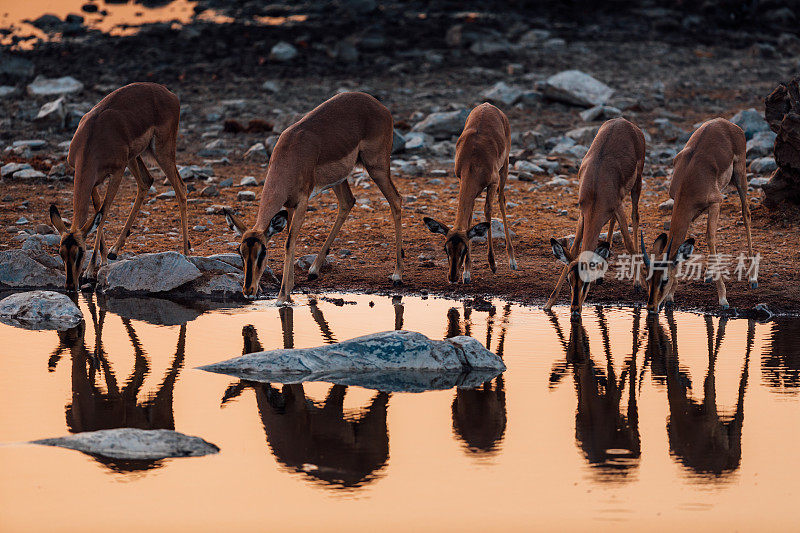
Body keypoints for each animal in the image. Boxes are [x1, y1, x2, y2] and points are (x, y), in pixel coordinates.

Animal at [48, 82, 191, 290]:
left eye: (80, 252)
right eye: (60, 253)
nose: (70, 285)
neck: (92, 139)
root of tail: (168, 93)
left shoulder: (116, 173)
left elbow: (104, 212)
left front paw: (90, 271)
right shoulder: (91, 180)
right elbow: (98, 212)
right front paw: (103, 260)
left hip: (160, 152)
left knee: (181, 188)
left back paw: (187, 252)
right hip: (135, 157)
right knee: (146, 181)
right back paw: (115, 250)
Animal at [223, 92, 400, 304]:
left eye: (263, 252)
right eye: (240, 253)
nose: (248, 290)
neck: (290, 156)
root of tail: (378, 105)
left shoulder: (302, 202)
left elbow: (289, 242)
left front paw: (281, 297)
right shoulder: (290, 205)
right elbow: (291, 239)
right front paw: (289, 291)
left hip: (376, 167)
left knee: (396, 200)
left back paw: (397, 275)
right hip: (340, 179)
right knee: (347, 202)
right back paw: (313, 270)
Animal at [422, 103, 516, 282]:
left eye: (463, 249)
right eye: (446, 249)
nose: (452, 276)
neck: (473, 161)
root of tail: (488, 105)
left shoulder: (493, 182)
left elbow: (487, 211)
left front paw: (492, 264)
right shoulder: (462, 181)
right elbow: (470, 216)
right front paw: (467, 272)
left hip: (505, 168)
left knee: (501, 201)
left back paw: (512, 261)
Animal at [548, 118, 648, 318]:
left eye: (586, 281)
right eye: (570, 280)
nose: (575, 310)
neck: (597, 187)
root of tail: (624, 121)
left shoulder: (617, 206)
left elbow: (629, 244)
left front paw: (647, 290)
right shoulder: (583, 213)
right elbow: (574, 247)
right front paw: (548, 304)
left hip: (637, 184)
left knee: (635, 216)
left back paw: (636, 283)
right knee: (611, 224)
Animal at [636, 117, 756, 312]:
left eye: (664, 280)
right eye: (648, 278)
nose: (652, 307)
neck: (689, 180)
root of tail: (725, 122)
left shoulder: (716, 202)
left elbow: (709, 238)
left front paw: (723, 299)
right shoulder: (687, 209)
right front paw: (671, 297)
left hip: (740, 176)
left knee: (746, 215)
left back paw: (753, 279)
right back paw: (708, 275)